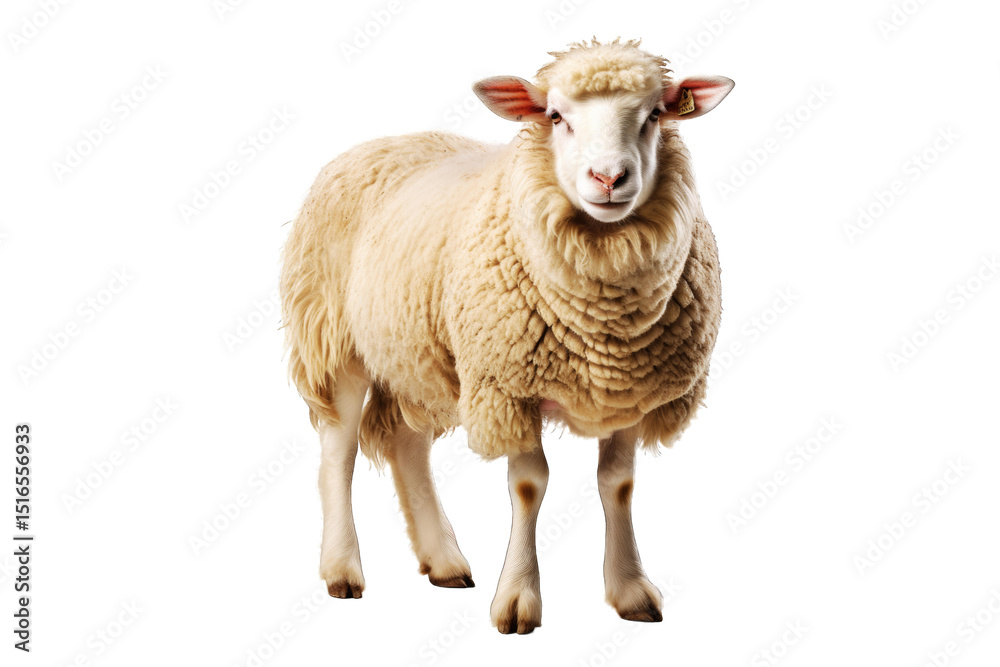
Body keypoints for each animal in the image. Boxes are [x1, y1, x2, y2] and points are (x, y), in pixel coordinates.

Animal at [280, 38, 733, 634]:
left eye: (655, 114)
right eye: (556, 116)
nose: (609, 179)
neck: (606, 325)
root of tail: (382, 141)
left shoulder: (627, 392)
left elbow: (617, 484)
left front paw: (630, 590)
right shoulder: (507, 385)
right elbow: (528, 484)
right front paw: (518, 599)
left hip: (417, 355)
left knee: (406, 445)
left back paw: (444, 560)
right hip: (335, 339)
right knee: (339, 452)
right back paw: (342, 568)